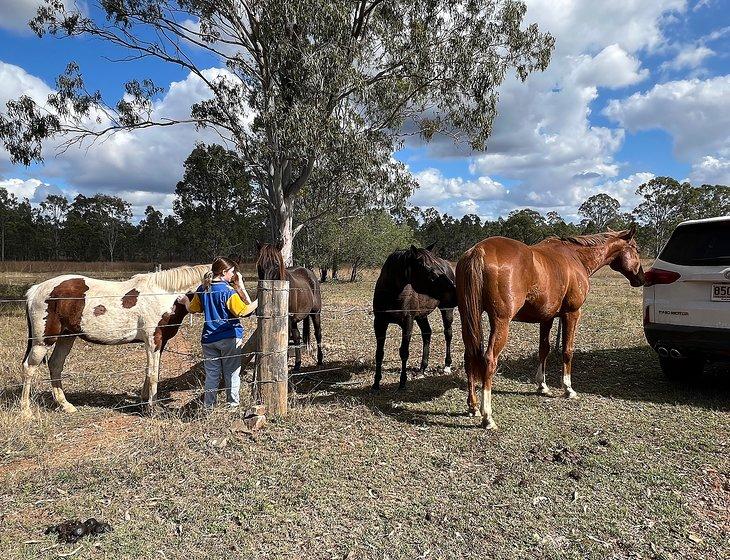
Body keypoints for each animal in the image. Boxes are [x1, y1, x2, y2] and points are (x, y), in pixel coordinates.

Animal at [21, 262, 252, 416]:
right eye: (232, 280)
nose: (247, 308)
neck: (164, 294)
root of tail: (34, 291)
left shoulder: (159, 342)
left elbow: (150, 372)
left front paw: (143, 402)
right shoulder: (153, 340)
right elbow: (153, 374)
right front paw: (151, 408)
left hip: (66, 338)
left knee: (55, 365)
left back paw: (66, 405)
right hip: (43, 341)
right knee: (29, 368)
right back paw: (26, 411)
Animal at [258, 238, 322, 370]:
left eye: (276, 264)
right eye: (259, 264)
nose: (265, 287)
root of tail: (309, 272)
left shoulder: (287, 319)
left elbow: (286, 340)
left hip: (315, 313)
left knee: (318, 333)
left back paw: (319, 360)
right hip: (294, 320)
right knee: (297, 337)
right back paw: (297, 364)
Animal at [372, 243, 452, 392]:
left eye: (435, 264)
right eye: (425, 266)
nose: (450, 286)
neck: (392, 293)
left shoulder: (407, 322)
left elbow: (404, 352)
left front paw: (402, 382)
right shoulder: (379, 323)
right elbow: (379, 353)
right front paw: (376, 383)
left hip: (447, 309)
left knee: (448, 334)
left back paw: (447, 366)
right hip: (421, 316)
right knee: (427, 333)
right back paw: (422, 369)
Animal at [456, 228, 644, 428]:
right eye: (637, 249)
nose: (642, 278)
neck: (575, 257)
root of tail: (479, 250)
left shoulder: (547, 318)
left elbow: (544, 349)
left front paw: (542, 385)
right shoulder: (572, 314)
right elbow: (567, 351)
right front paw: (568, 388)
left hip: (467, 317)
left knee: (469, 357)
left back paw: (473, 407)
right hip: (501, 323)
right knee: (489, 360)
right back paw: (487, 416)